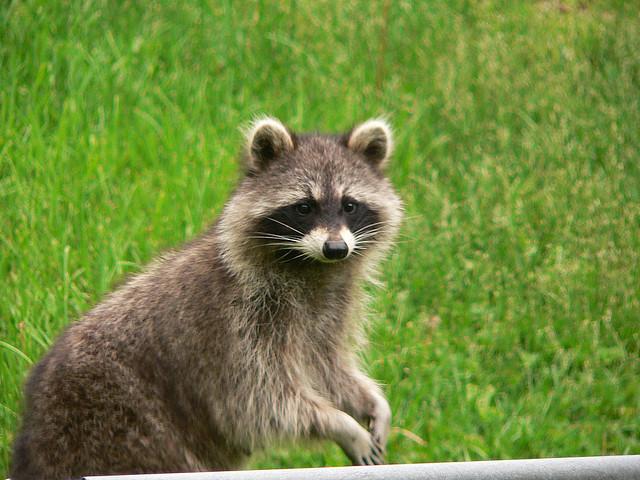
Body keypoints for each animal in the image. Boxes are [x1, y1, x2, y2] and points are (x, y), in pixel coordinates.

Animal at [10, 117, 403, 479]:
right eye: (304, 207)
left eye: (350, 205)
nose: (336, 249)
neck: (309, 266)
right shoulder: (235, 328)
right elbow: (261, 405)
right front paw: (340, 424)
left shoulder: (324, 313)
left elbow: (325, 369)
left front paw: (366, 400)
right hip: (116, 430)